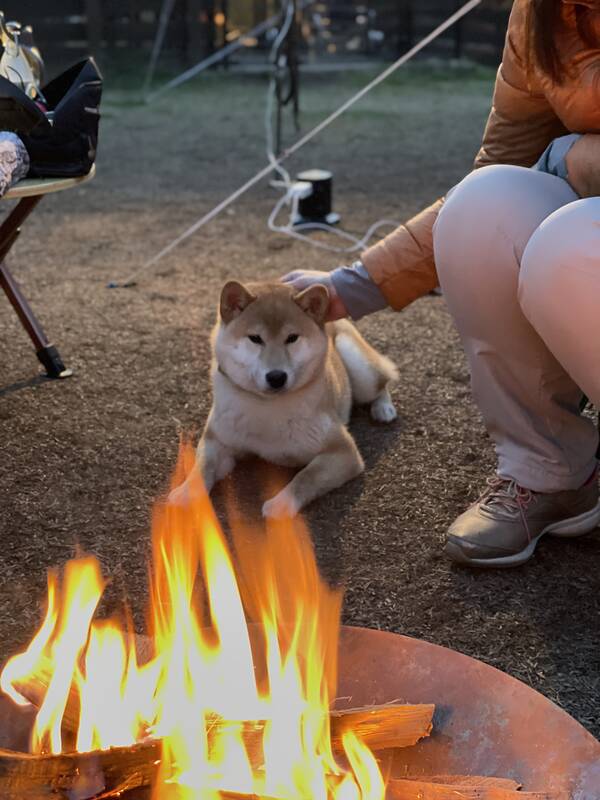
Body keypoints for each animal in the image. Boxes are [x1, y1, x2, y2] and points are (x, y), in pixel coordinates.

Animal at [171, 282, 398, 520]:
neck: (266, 407)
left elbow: (306, 477)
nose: (276, 377)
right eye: (255, 338)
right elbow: (202, 467)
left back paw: (384, 409)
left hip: (361, 372)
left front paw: (280, 504)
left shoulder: (343, 451)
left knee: (382, 382)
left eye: (292, 338)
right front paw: (185, 493)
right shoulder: (217, 441)